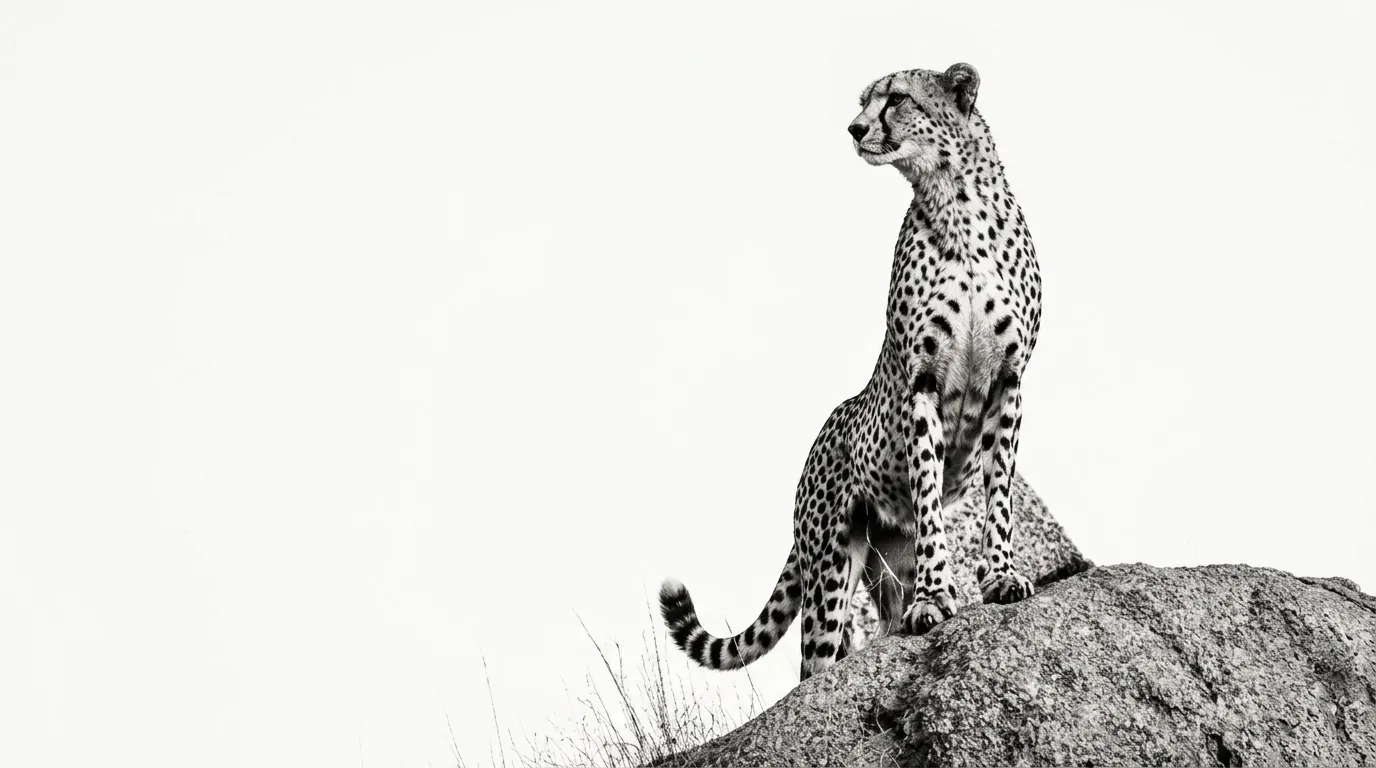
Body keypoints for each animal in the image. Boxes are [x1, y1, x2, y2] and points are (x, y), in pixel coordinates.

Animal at [660, 63, 1042, 681]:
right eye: (864, 100)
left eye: (897, 98)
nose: (855, 128)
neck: (955, 203)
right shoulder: (922, 381)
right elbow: (930, 496)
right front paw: (935, 598)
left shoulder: (1009, 381)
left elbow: (999, 493)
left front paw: (1001, 575)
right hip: (831, 566)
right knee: (815, 665)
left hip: (880, 559)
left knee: (881, 620)